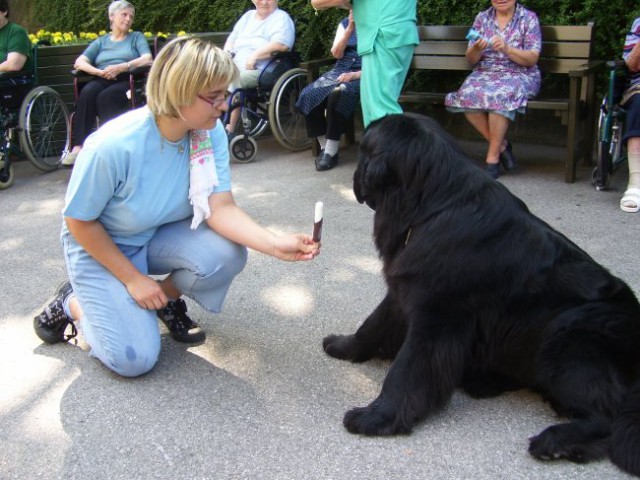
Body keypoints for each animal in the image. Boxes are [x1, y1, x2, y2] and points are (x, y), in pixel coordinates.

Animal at [322, 113, 640, 476]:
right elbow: (372, 325)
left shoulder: (438, 317)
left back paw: (556, 441)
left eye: (365, 152)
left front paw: (378, 417)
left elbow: (407, 368)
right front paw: (342, 345)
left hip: (567, 339)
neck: (432, 207)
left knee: (608, 415)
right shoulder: (403, 291)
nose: (354, 176)